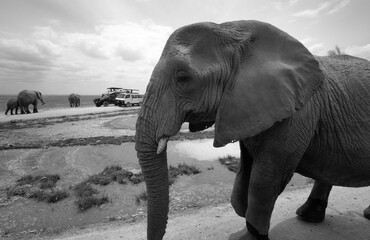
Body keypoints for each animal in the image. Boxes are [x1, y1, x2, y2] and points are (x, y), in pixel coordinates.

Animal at [135, 20, 370, 240]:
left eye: (183, 78)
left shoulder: (298, 112)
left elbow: (264, 180)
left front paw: (252, 235)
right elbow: (245, 169)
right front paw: (243, 211)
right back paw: (311, 215)